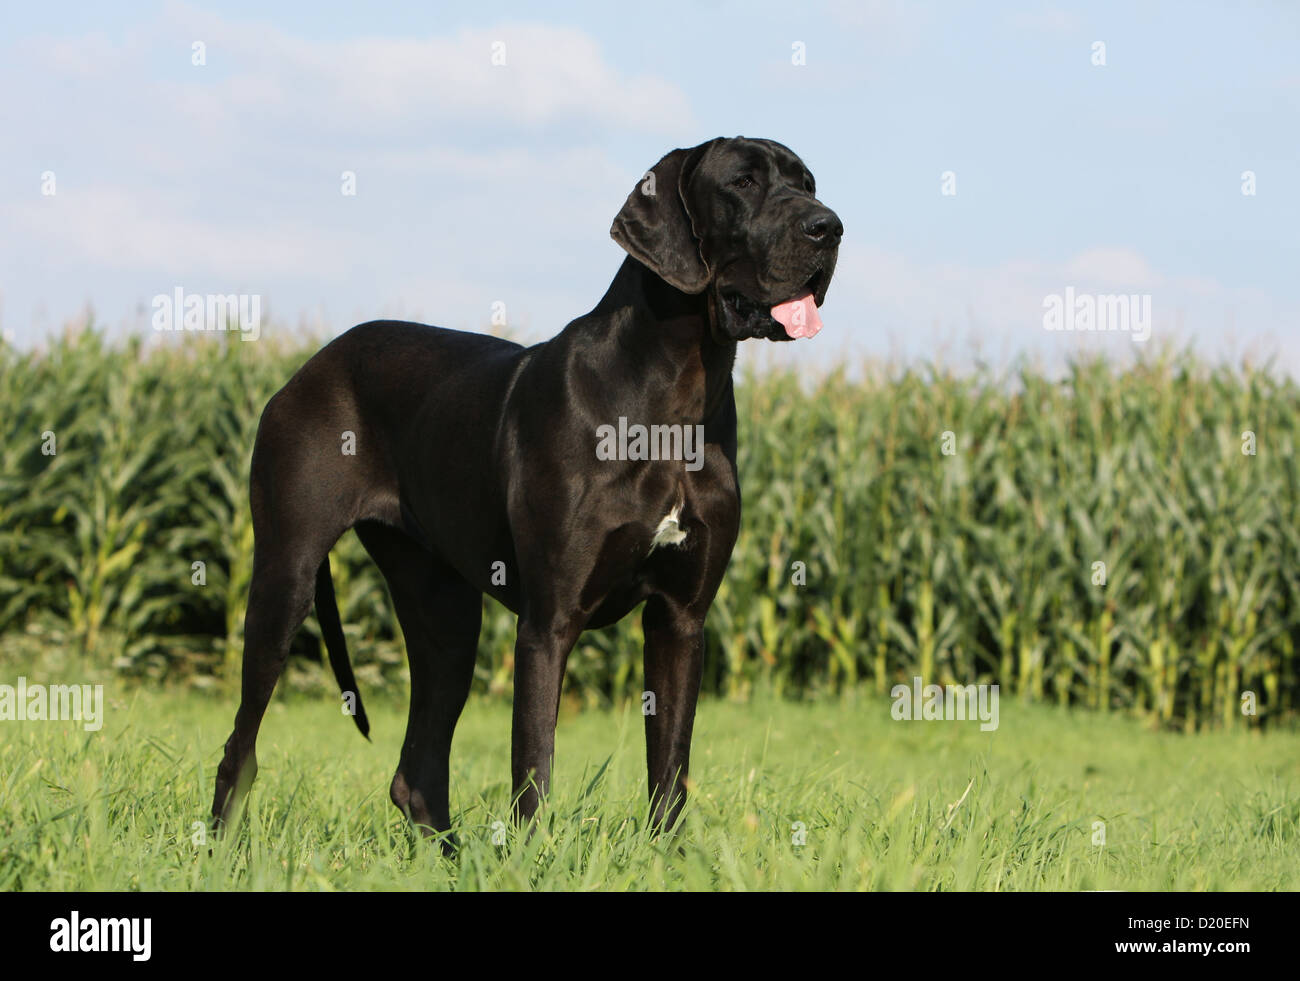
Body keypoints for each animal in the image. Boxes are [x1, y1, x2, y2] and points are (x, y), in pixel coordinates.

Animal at [213, 136, 842, 841]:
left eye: (807, 184)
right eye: (742, 182)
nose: (829, 227)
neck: (677, 393)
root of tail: (309, 364)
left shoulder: (681, 621)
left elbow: (669, 768)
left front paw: (671, 855)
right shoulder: (549, 621)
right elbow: (535, 765)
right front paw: (535, 854)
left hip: (446, 616)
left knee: (417, 772)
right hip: (285, 580)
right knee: (241, 745)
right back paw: (221, 847)